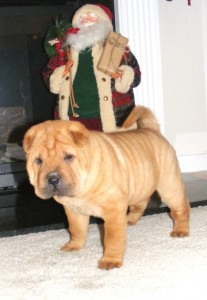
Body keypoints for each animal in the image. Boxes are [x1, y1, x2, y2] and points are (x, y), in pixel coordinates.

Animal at [23, 105, 190, 270]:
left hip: (169, 186)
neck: (82, 189)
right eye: (38, 160)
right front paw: (74, 245)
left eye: (68, 157)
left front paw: (110, 260)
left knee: (181, 208)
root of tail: (152, 130)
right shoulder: (73, 211)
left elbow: (112, 239)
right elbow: (76, 230)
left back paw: (180, 230)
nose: (53, 179)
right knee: (140, 204)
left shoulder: (113, 211)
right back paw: (129, 220)